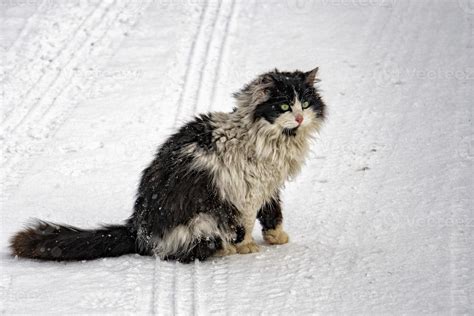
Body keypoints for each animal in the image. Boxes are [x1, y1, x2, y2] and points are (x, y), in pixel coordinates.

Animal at [10, 68, 326, 262]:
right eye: (283, 106)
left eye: (305, 104)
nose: (299, 118)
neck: (271, 139)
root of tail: (137, 228)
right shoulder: (245, 191)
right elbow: (247, 222)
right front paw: (247, 246)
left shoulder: (269, 185)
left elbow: (273, 212)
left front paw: (277, 238)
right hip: (204, 222)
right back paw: (224, 250)